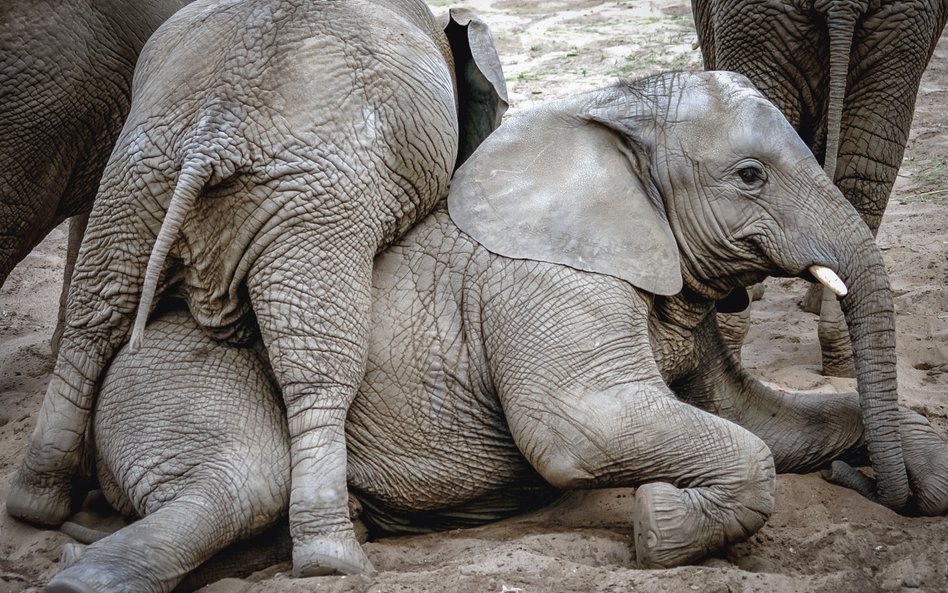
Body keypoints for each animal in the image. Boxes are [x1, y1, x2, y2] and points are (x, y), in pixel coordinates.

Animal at [40, 71, 944, 592]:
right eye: (749, 176)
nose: (873, 487)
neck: (607, 111)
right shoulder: (549, 284)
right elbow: (582, 431)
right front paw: (659, 523)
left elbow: (761, 419)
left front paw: (928, 471)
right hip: (175, 375)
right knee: (241, 479)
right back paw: (81, 576)